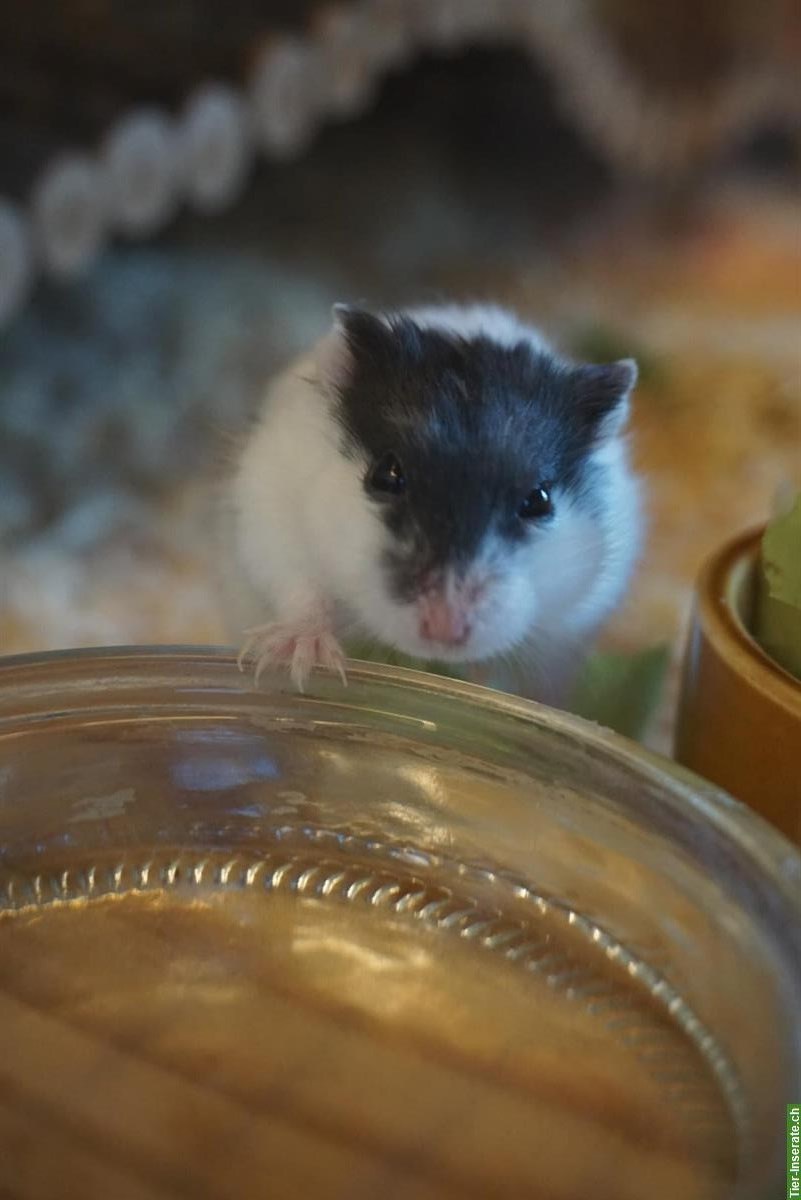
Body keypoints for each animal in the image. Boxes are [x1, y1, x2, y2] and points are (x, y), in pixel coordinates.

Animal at [225, 302, 643, 705]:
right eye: (385, 475)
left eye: (538, 501)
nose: (445, 630)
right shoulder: (269, 514)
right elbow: (303, 590)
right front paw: (293, 663)